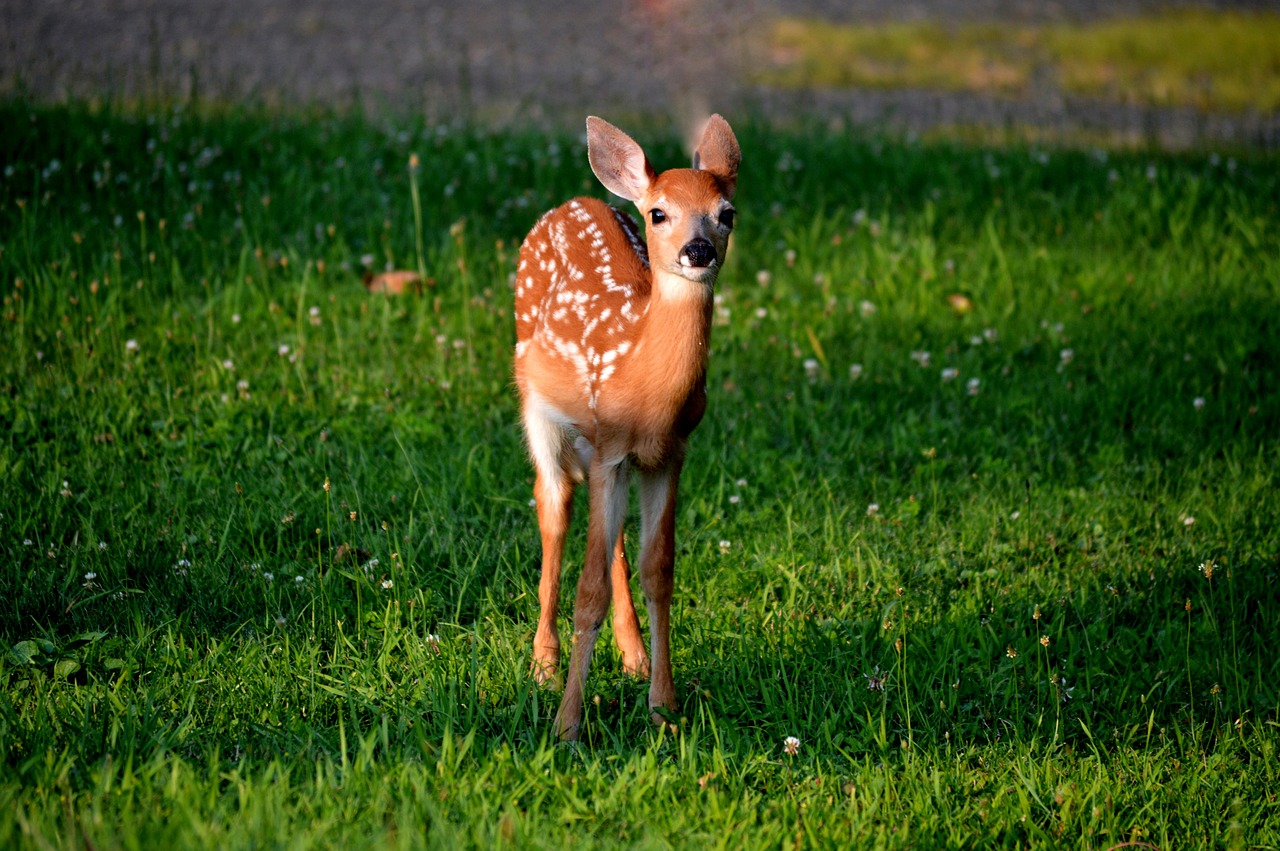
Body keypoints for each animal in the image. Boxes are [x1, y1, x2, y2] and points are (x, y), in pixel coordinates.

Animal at [514, 112, 742, 737]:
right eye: (659, 212)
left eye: (727, 213)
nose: (697, 250)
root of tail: (575, 201)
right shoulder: (614, 448)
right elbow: (587, 589)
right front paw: (567, 726)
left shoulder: (668, 452)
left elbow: (659, 570)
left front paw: (664, 707)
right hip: (535, 406)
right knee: (553, 507)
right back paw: (543, 663)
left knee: (608, 538)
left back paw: (633, 654)